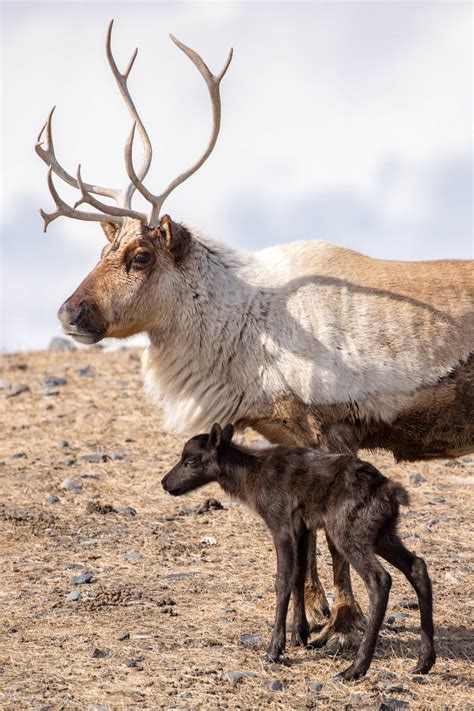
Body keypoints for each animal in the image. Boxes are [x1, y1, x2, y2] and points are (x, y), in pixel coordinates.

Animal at [161, 426, 436, 680]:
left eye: (190, 460)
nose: (165, 483)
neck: (253, 471)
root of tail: (390, 491)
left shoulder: (280, 524)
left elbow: (283, 580)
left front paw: (274, 650)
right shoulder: (303, 528)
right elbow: (299, 574)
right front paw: (300, 635)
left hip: (349, 535)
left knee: (380, 580)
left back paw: (354, 669)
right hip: (382, 534)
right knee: (417, 566)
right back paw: (424, 662)